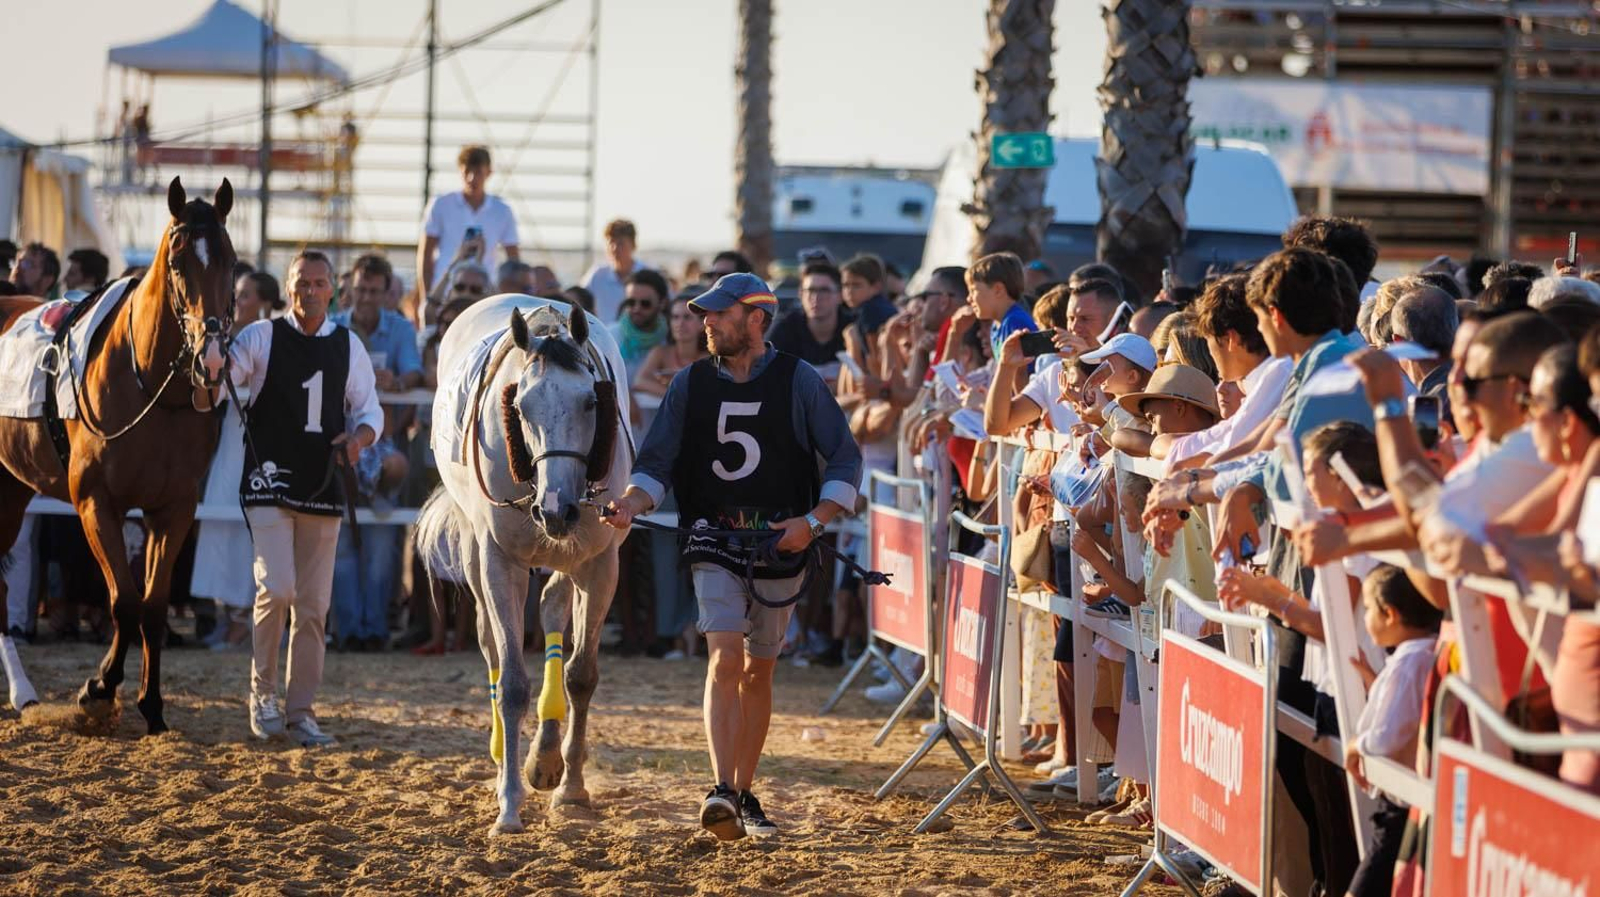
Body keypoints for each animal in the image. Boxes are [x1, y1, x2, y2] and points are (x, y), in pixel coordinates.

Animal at [0, 177, 236, 734]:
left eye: (233, 262)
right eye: (177, 263)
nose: (212, 358)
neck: (149, 385)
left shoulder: (173, 508)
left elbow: (152, 605)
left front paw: (152, 705)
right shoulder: (95, 502)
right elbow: (124, 601)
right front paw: (98, 690)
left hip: (11, 489)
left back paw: (24, 693)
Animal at [415, 295, 631, 835]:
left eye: (591, 402)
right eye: (520, 406)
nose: (556, 509)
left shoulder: (600, 563)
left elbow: (581, 675)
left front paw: (570, 786)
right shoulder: (500, 562)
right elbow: (511, 682)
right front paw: (509, 804)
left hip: (567, 555)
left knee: (553, 609)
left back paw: (547, 756)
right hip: (477, 550)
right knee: (490, 642)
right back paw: (503, 761)